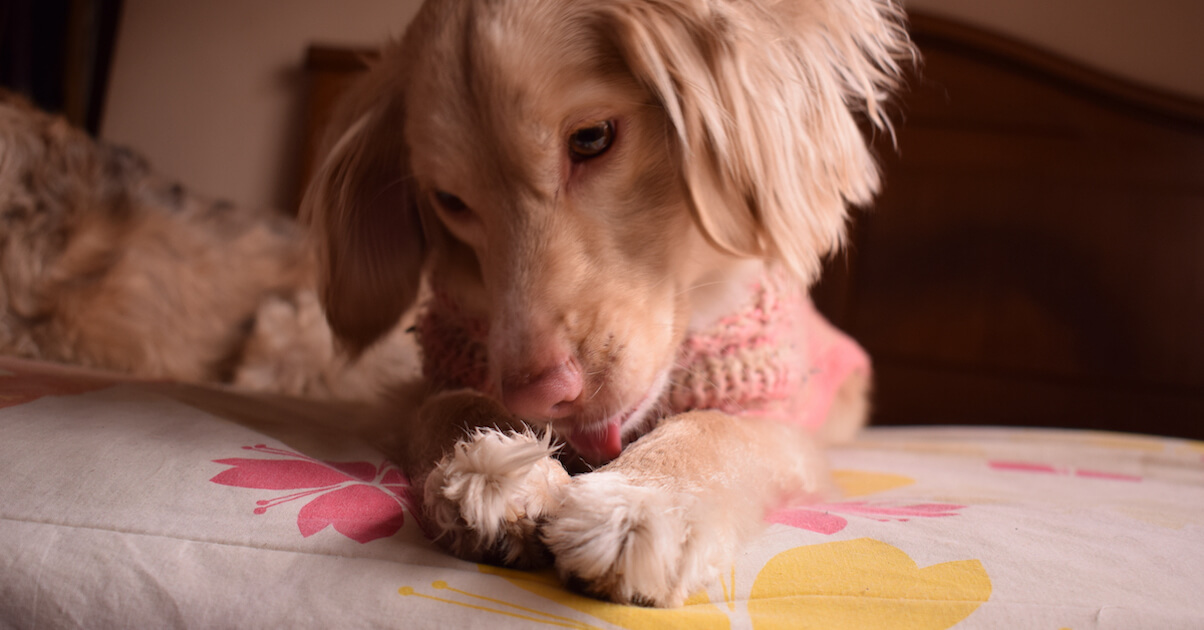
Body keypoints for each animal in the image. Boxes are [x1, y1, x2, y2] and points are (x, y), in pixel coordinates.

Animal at [303, 0, 910, 609]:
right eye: (450, 200)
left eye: (593, 138)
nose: (539, 396)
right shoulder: (422, 385)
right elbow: (450, 404)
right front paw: (495, 469)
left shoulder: (783, 422)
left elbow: (716, 428)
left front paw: (645, 500)